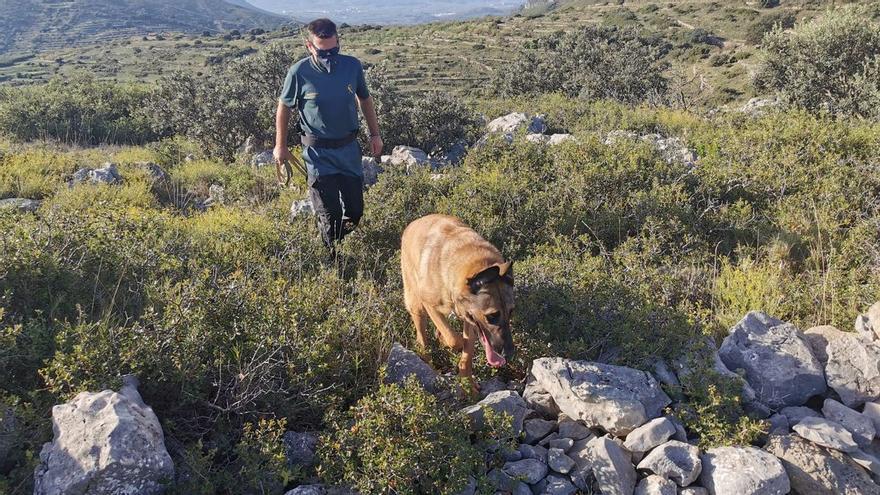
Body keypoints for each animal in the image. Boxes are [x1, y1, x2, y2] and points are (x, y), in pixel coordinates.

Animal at [400, 215, 516, 394]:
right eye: (491, 316)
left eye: (511, 312)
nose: (509, 354)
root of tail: (413, 223)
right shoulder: (429, 304)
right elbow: (454, 339)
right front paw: (449, 342)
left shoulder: (470, 319)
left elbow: (467, 354)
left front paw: (467, 384)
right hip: (416, 305)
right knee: (422, 339)